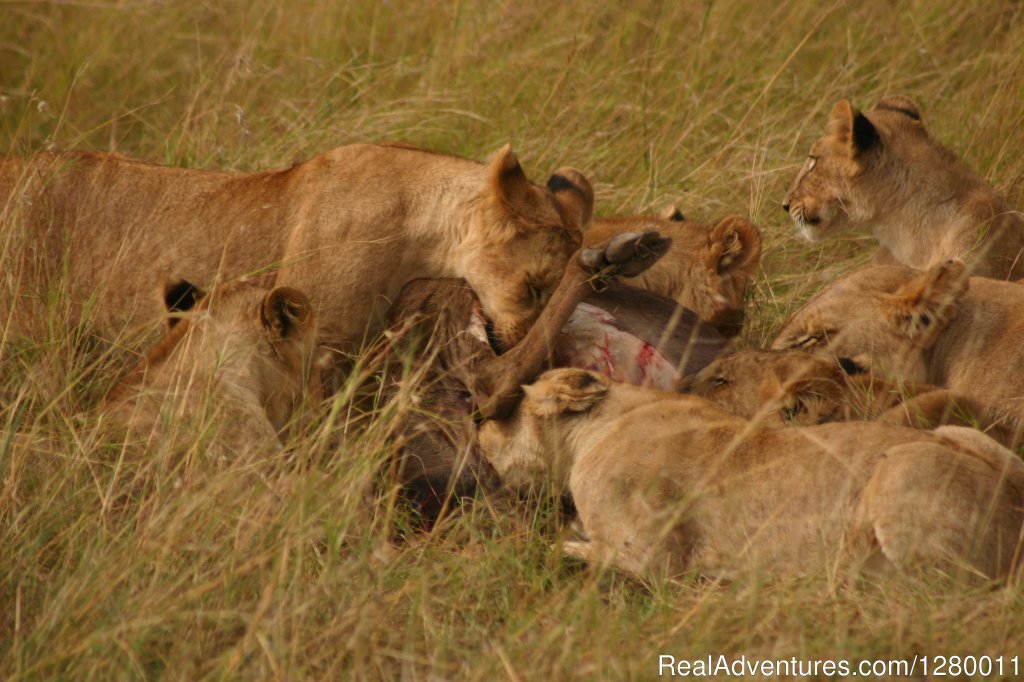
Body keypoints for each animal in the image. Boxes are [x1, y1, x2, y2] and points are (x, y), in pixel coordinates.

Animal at [477, 366, 1024, 577]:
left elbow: (562, 547)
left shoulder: (656, 558)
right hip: (966, 434)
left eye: (502, 413)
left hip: (903, 474)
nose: (476, 431)